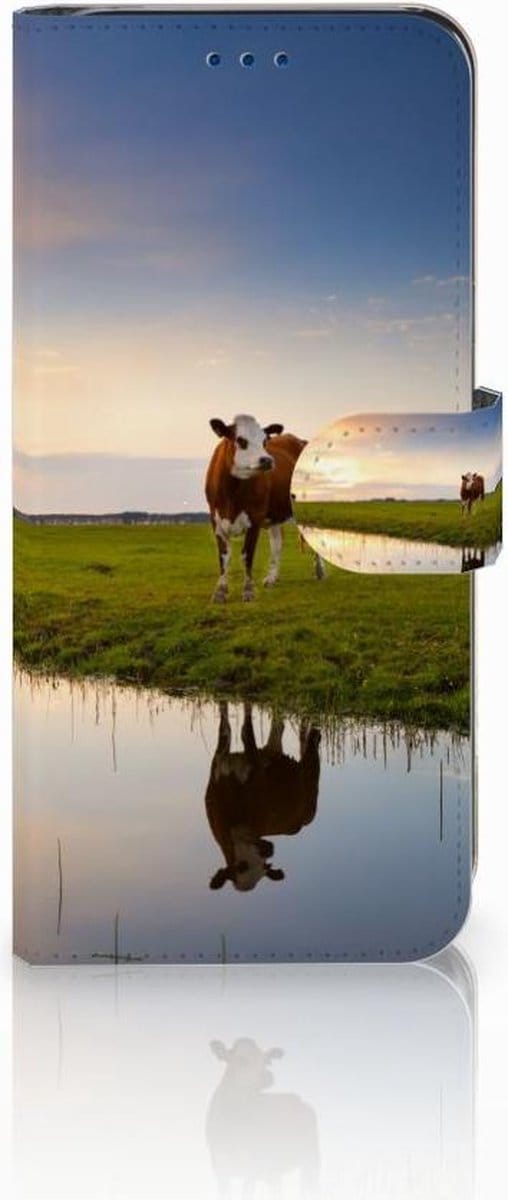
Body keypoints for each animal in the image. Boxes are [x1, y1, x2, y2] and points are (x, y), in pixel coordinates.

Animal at [205, 413, 324, 601]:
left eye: (264, 441)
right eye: (241, 440)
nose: (267, 460)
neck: (231, 494)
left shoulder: (255, 518)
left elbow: (247, 555)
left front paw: (248, 591)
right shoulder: (216, 520)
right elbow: (224, 556)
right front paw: (220, 592)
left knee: (312, 536)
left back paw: (319, 571)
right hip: (274, 515)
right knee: (277, 543)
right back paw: (271, 578)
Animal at [205, 702, 321, 892]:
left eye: (264, 865)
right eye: (240, 866)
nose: (268, 849)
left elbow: (246, 731)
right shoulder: (218, 763)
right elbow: (225, 727)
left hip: (311, 791)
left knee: (309, 747)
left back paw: (313, 734)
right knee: (278, 727)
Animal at [206, 1039, 320, 1197]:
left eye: (267, 1061)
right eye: (242, 1059)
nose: (267, 1076)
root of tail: (300, 1099)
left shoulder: (251, 1169)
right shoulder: (220, 1169)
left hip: (311, 1161)